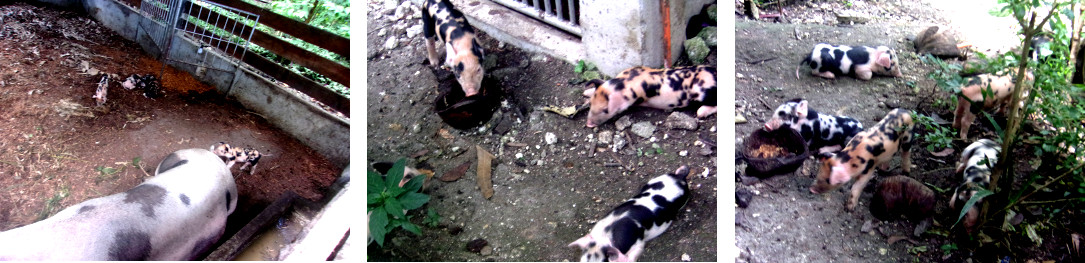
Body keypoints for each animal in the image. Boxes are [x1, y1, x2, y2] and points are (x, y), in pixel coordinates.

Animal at [581, 65, 716, 127]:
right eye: (591, 103)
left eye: (605, 110)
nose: (588, 124)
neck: (625, 81)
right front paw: (585, 93)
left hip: (703, 92)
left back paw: (701, 112)